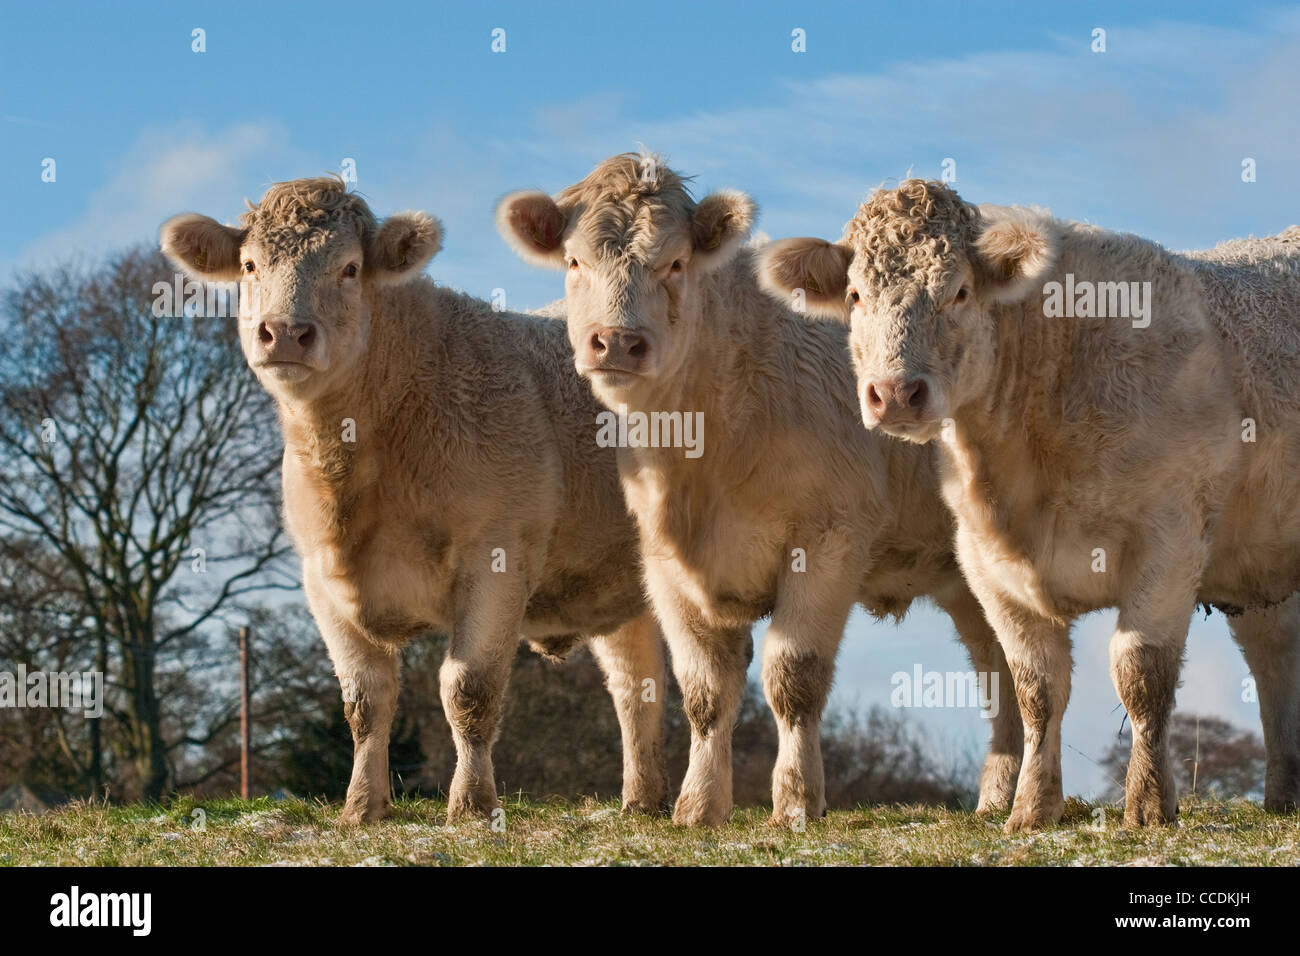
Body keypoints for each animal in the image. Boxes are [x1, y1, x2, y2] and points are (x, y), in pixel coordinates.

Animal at [159, 178, 670, 822]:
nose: (284, 332)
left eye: (349, 268)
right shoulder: (319, 578)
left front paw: (471, 805)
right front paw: (361, 807)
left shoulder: (498, 554)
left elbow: (468, 688)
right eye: (250, 266)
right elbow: (364, 700)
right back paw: (641, 802)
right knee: (636, 686)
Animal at [759, 178, 1300, 832]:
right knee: (1275, 660)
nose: (894, 393)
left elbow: (1141, 673)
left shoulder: (1169, 538)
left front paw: (1147, 805)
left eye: (959, 291)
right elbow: (1036, 688)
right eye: (857, 295)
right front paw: (1032, 807)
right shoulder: (986, 562)